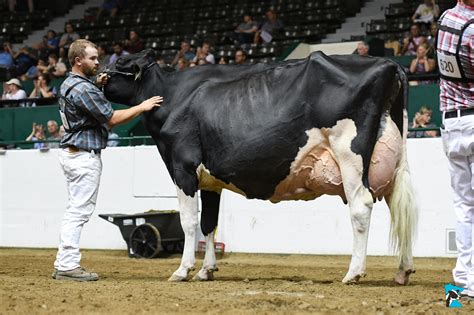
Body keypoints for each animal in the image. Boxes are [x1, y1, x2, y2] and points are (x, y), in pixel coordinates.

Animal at [103, 49, 418, 286]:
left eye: (119, 63)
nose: (95, 74)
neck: (172, 95)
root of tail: (390, 64)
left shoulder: (183, 168)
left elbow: (189, 222)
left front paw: (183, 270)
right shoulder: (210, 181)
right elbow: (209, 224)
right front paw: (207, 270)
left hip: (349, 153)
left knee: (361, 206)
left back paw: (353, 273)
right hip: (391, 163)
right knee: (400, 207)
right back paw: (402, 271)